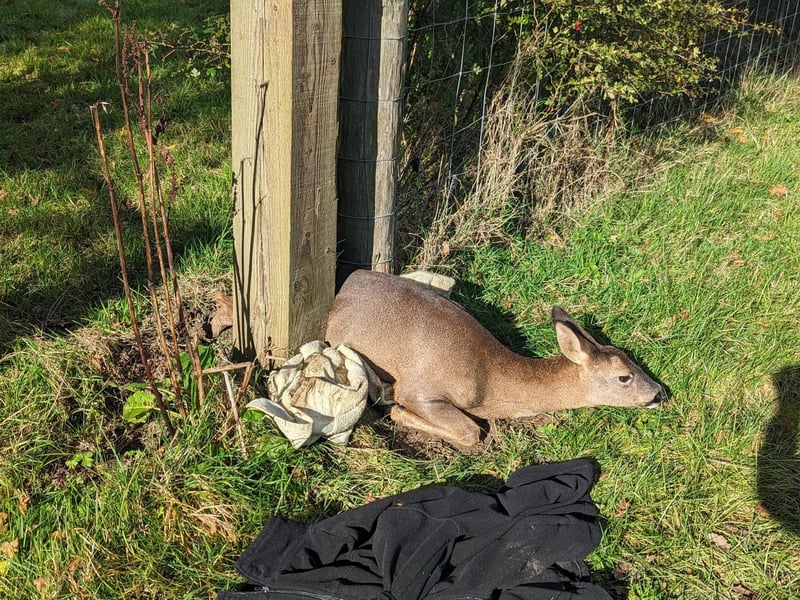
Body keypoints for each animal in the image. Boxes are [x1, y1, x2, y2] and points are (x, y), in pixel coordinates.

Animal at [325, 269, 665, 449]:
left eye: (632, 360)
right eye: (624, 377)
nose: (659, 393)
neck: (490, 383)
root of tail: (348, 283)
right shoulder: (420, 388)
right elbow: (470, 431)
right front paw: (395, 408)